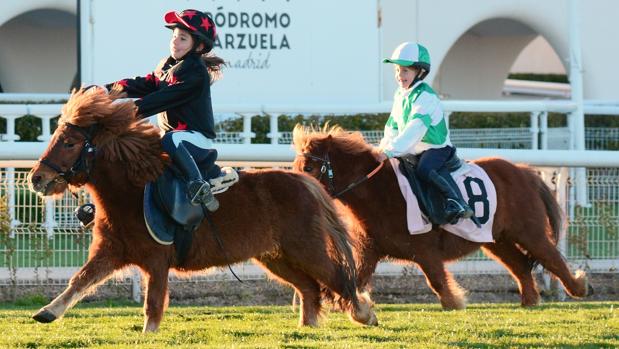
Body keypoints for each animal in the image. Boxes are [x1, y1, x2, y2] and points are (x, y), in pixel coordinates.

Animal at [25, 89, 378, 332]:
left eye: (70, 142)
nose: (36, 178)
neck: (133, 190)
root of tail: (304, 181)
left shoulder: (157, 261)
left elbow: (153, 304)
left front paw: (148, 334)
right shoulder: (111, 251)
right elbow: (80, 280)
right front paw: (47, 312)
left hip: (306, 249)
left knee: (334, 278)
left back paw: (365, 314)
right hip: (275, 256)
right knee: (309, 289)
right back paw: (308, 328)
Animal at [294, 124, 588, 308]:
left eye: (309, 167)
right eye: (297, 165)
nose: (300, 191)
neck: (380, 192)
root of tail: (525, 172)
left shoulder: (425, 251)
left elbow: (437, 283)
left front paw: (455, 303)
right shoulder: (370, 250)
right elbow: (353, 278)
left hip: (529, 232)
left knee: (552, 259)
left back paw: (579, 288)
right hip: (497, 240)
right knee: (521, 268)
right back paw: (530, 301)